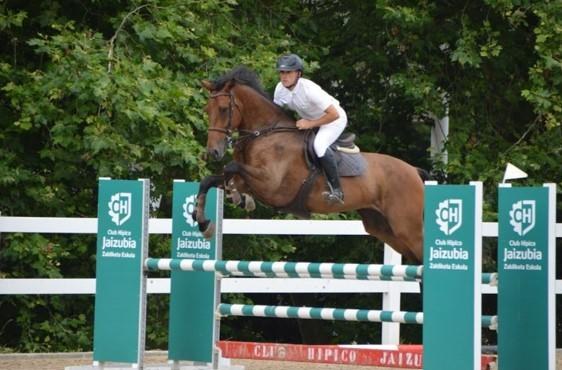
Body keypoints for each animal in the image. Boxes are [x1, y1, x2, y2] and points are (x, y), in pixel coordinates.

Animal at [191, 66, 424, 264]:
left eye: (223, 109)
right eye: (206, 109)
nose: (213, 152)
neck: (264, 133)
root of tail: (415, 172)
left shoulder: (271, 185)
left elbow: (230, 168)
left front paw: (236, 197)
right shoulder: (254, 181)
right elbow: (210, 180)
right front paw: (204, 221)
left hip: (407, 227)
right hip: (382, 227)